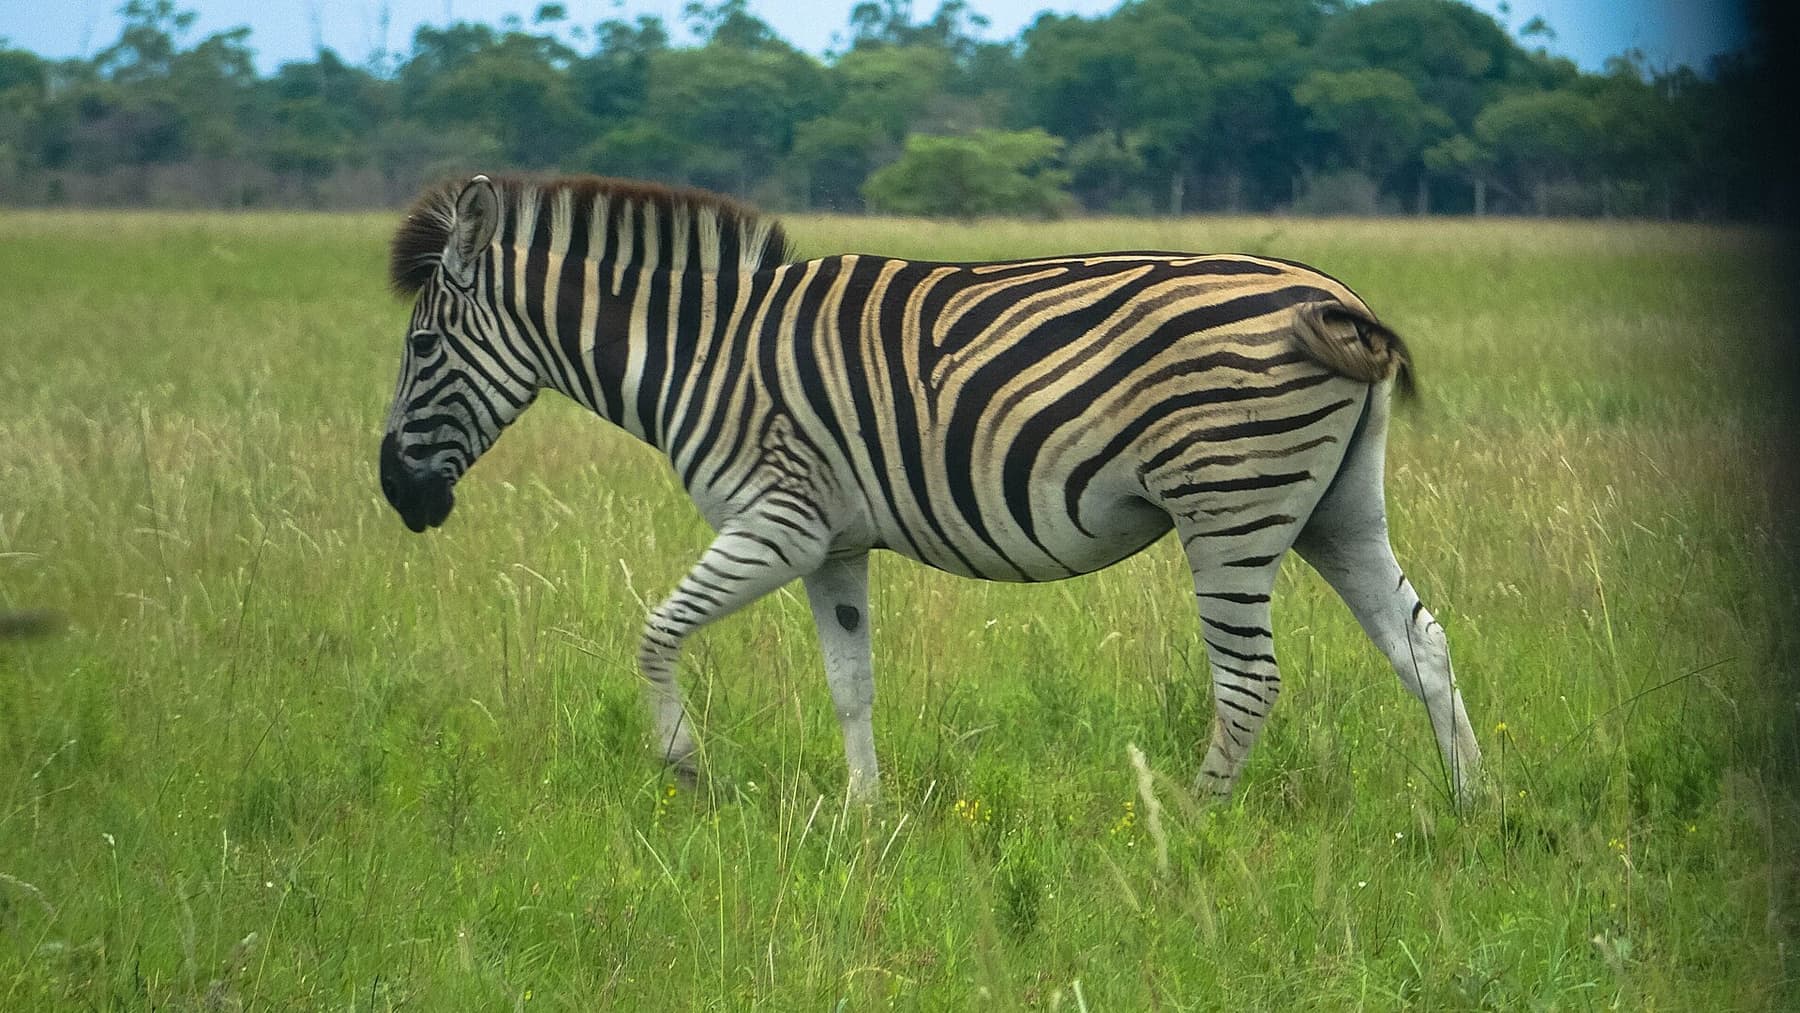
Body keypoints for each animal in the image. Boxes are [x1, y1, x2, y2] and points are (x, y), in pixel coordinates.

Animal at [377, 173, 1481, 805]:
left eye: (421, 348)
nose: (396, 495)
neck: (703, 354)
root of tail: (1332, 296)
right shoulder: (831, 544)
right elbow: (851, 682)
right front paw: (865, 818)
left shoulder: (776, 520)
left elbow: (653, 633)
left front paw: (686, 768)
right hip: (1334, 506)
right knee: (1423, 643)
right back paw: (1473, 807)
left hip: (1228, 506)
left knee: (1250, 680)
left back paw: (1187, 823)